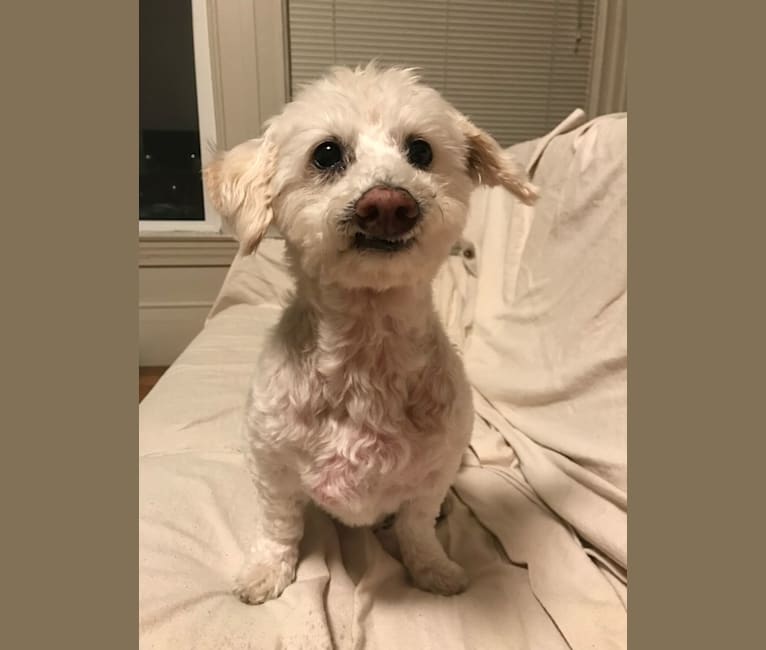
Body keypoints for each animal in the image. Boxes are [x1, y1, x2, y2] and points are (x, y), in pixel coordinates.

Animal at [204, 62, 540, 604]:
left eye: (421, 151)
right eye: (326, 153)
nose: (387, 204)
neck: (367, 348)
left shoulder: (433, 473)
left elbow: (417, 526)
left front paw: (433, 570)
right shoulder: (270, 463)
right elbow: (279, 526)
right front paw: (267, 571)